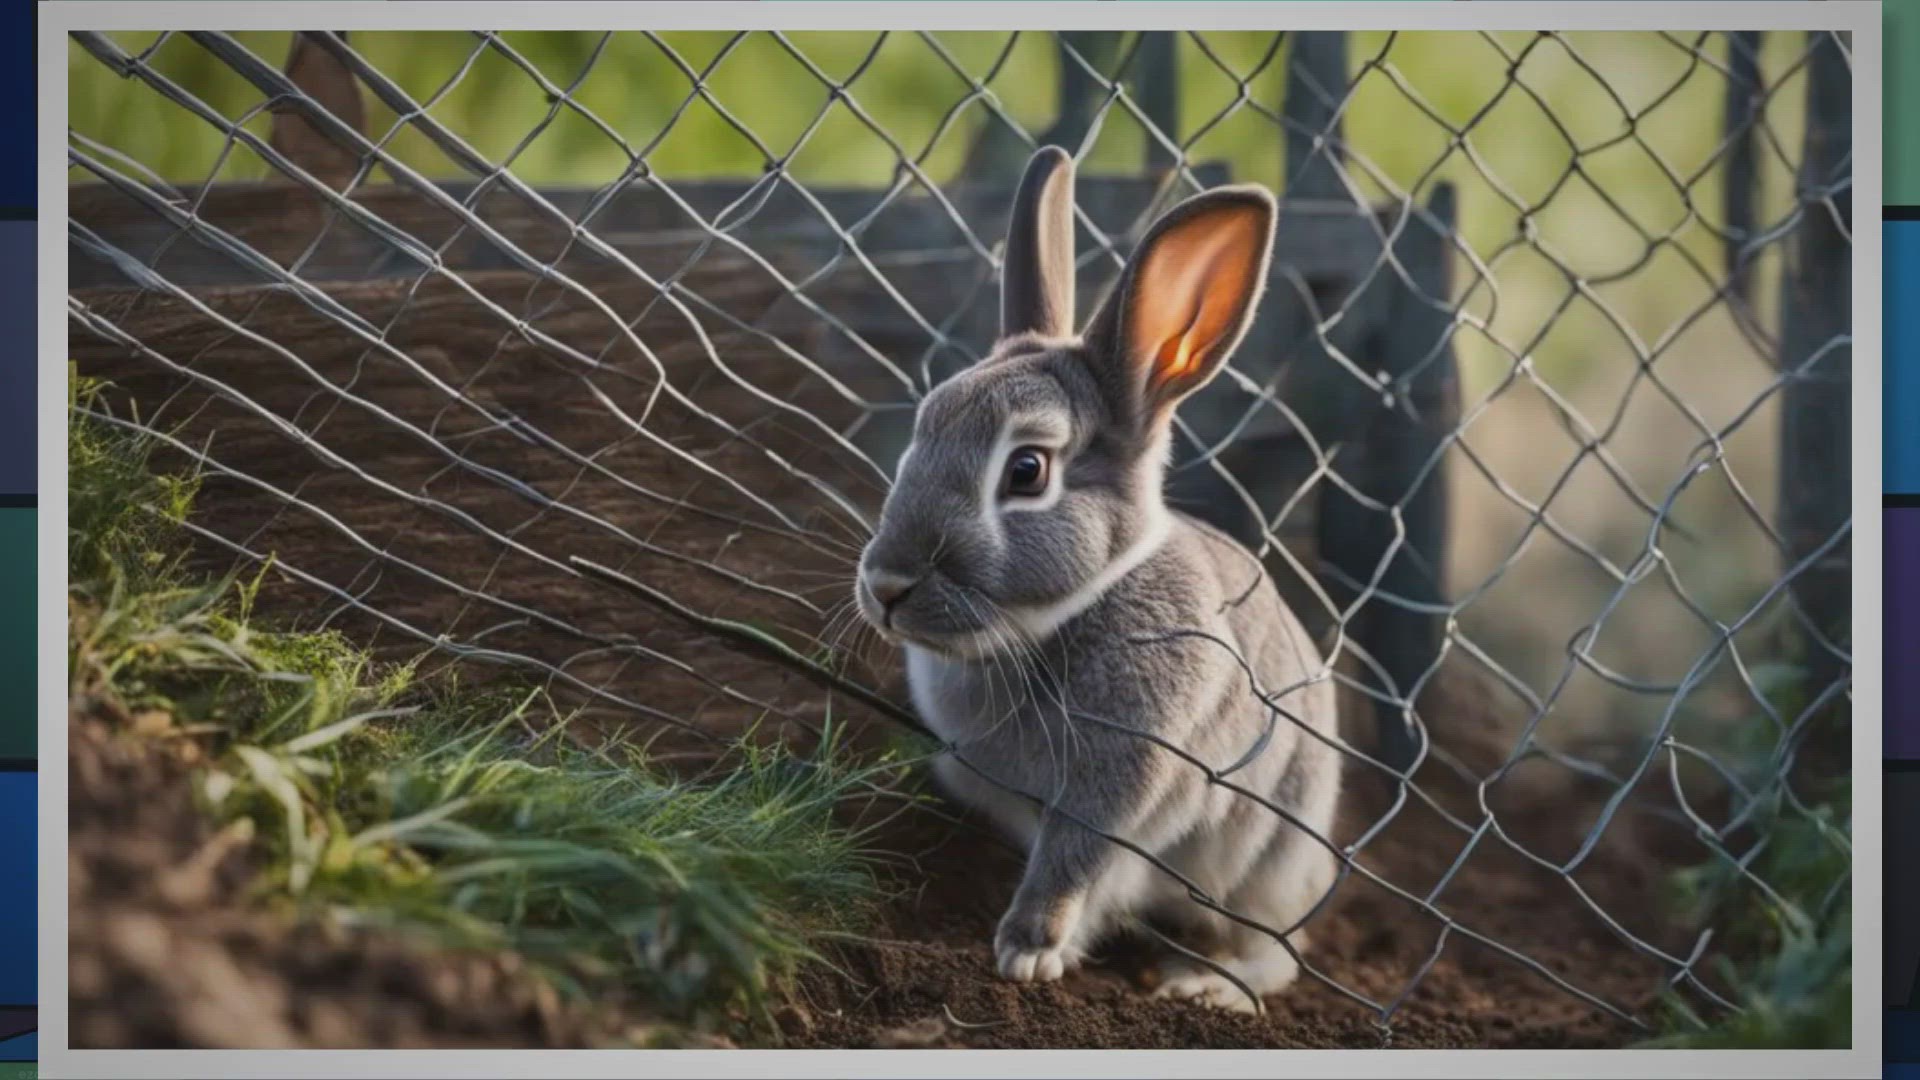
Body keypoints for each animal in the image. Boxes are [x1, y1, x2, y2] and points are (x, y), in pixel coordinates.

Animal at [853, 146, 1342, 1013]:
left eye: (1026, 470)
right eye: (922, 429)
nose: (886, 585)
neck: (1060, 617)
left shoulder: (1120, 778)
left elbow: (1072, 864)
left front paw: (1027, 953)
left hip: (1272, 859)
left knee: (1277, 952)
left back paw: (1206, 989)